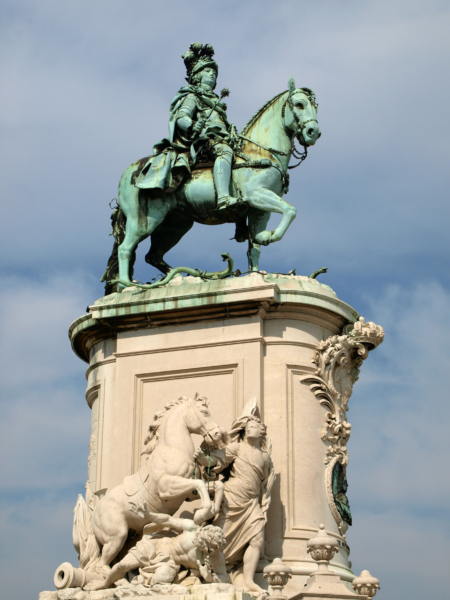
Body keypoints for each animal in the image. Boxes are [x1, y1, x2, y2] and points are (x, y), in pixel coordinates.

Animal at [102, 78, 320, 294]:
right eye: (299, 104)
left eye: (315, 106)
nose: (313, 132)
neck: (258, 152)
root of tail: (130, 171)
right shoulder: (255, 194)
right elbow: (290, 210)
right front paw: (270, 236)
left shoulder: (258, 211)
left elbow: (254, 248)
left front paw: (257, 265)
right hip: (145, 220)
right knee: (125, 248)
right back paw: (127, 286)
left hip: (175, 225)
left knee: (153, 256)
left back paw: (179, 279)